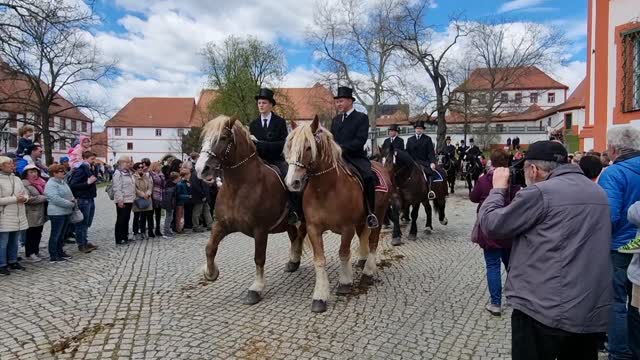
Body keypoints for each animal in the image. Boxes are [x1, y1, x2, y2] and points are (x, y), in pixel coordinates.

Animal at [195, 115, 308, 306]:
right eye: (204, 138)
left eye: (223, 138)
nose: (200, 169)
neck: (239, 186)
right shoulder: (220, 224)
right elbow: (210, 248)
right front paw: (210, 273)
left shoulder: (260, 230)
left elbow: (259, 257)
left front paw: (256, 289)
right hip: (287, 223)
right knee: (294, 236)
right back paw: (293, 262)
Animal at [286, 116, 396, 314]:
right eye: (289, 146)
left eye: (308, 147)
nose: (293, 182)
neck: (326, 189)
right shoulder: (314, 229)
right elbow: (319, 260)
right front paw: (320, 296)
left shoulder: (347, 228)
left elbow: (343, 253)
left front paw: (345, 282)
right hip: (362, 221)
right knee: (364, 237)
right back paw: (362, 260)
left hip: (379, 213)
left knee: (373, 242)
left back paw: (368, 271)